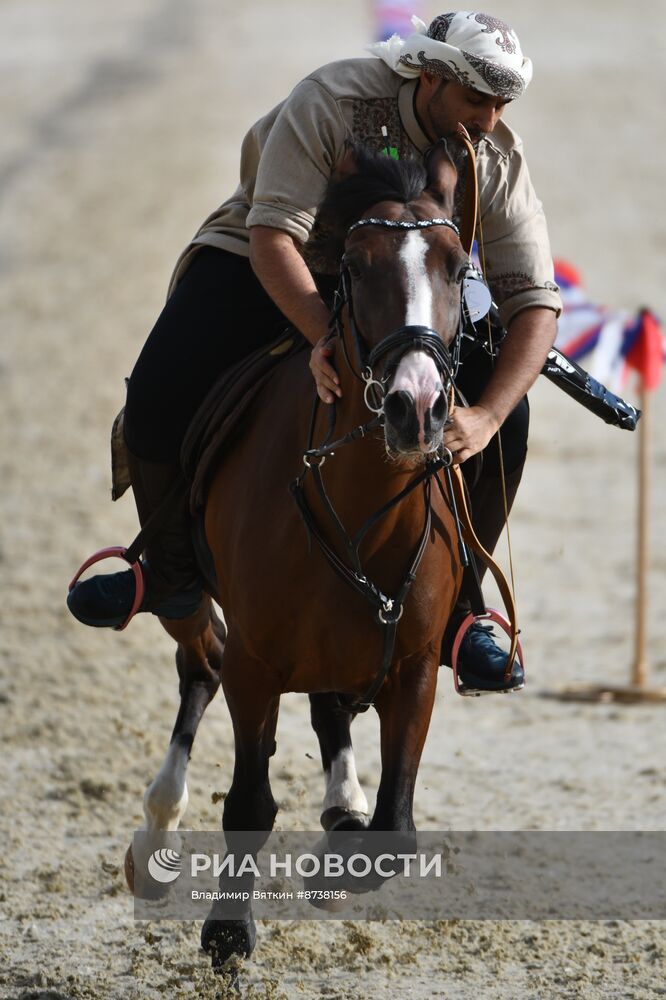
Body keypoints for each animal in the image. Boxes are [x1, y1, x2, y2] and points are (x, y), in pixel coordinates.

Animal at [127, 141, 470, 968]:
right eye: (356, 264)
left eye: (455, 266)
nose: (416, 406)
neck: (360, 507)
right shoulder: (258, 660)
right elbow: (249, 797)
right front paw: (227, 927)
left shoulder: (413, 665)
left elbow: (396, 830)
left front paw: (337, 864)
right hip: (197, 605)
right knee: (201, 661)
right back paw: (156, 832)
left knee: (323, 705)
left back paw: (340, 804)